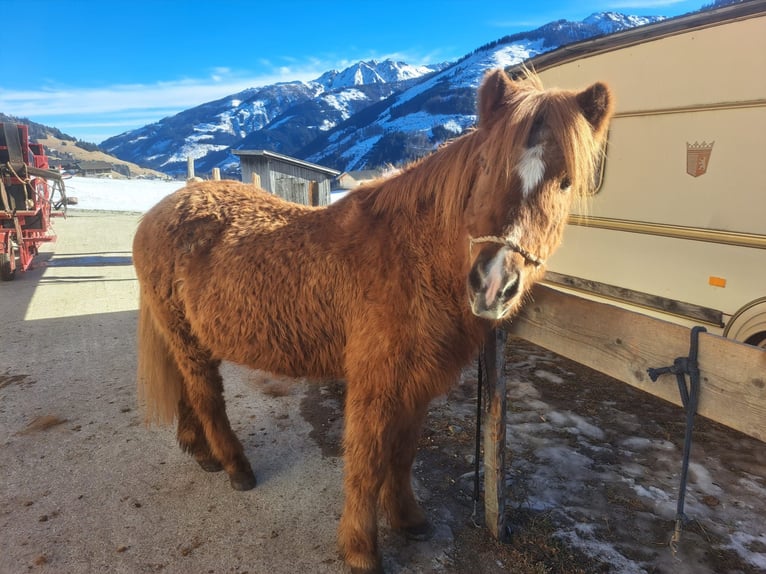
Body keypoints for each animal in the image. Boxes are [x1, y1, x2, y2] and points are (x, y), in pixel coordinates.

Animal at [135, 70, 616, 572]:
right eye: (486, 166)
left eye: (565, 182)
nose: (491, 284)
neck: (410, 256)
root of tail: (162, 209)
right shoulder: (374, 381)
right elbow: (367, 462)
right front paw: (362, 549)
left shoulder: (418, 382)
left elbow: (402, 455)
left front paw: (407, 519)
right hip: (188, 339)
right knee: (206, 397)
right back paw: (235, 467)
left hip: (185, 337)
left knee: (187, 390)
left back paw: (201, 452)